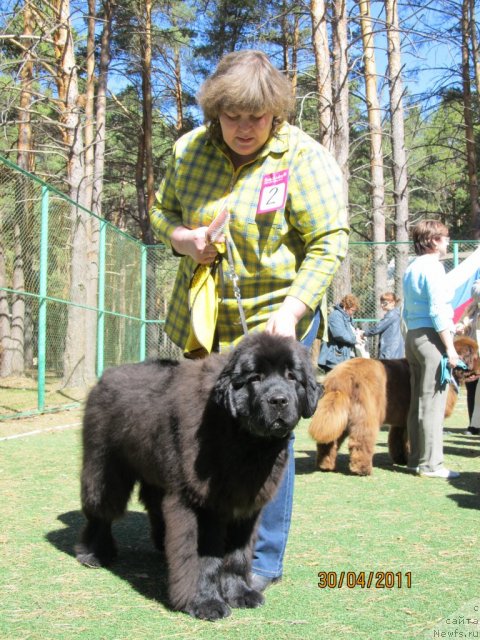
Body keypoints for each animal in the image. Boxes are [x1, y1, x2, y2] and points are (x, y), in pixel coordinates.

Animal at [77, 336, 320, 620]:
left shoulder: (245, 505)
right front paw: (204, 602)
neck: (243, 441)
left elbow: (238, 555)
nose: (279, 400)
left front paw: (240, 593)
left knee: (154, 506)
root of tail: (106, 375)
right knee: (101, 511)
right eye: (255, 378)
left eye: (292, 377)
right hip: (106, 467)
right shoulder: (199, 505)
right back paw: (94, 553)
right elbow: (201, 559)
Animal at [308, 336, 476, 476]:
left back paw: (325, 465)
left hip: (340, 414)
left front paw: (401, 458)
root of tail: (340, 377)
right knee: (361, 441)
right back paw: (363, 469)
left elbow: (397, 439)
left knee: (329, 442)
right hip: (365, 415)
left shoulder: (402, 420)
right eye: (476, 355)